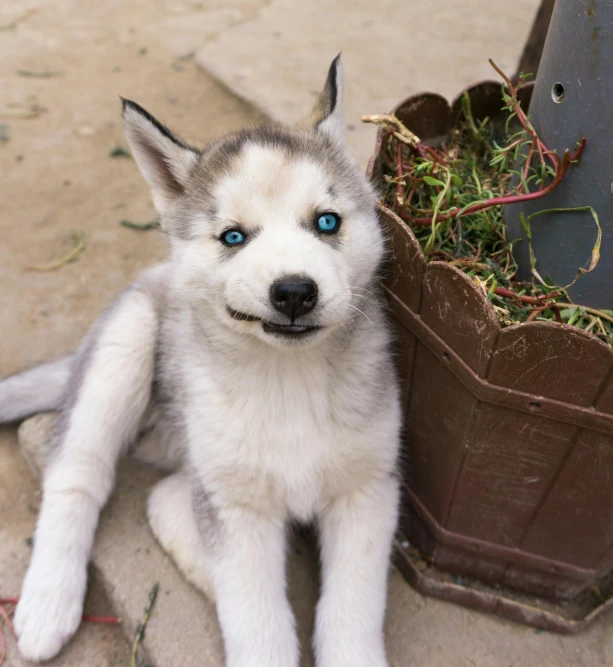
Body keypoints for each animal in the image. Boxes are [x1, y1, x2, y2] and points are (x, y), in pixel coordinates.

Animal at [1, 57, 402, 667]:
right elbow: (259, 629)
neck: (287, 379)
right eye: (233, 237)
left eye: (327, 222)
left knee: (166, 499)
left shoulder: (367, 490)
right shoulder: (236, 514)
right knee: (76, 476)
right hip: (126, 343)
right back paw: (50, 602)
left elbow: (350, 614)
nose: (293, 291)